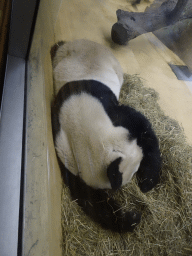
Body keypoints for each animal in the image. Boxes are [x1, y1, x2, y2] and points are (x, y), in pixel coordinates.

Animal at [50, 39, 161, 233]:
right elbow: (91, 199)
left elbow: (143, 128)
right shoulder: (66, 153)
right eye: (132, 173)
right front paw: (131, 218)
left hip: (109, 63)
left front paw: (148, 182)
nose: (135, 178)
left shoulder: (109, 110)